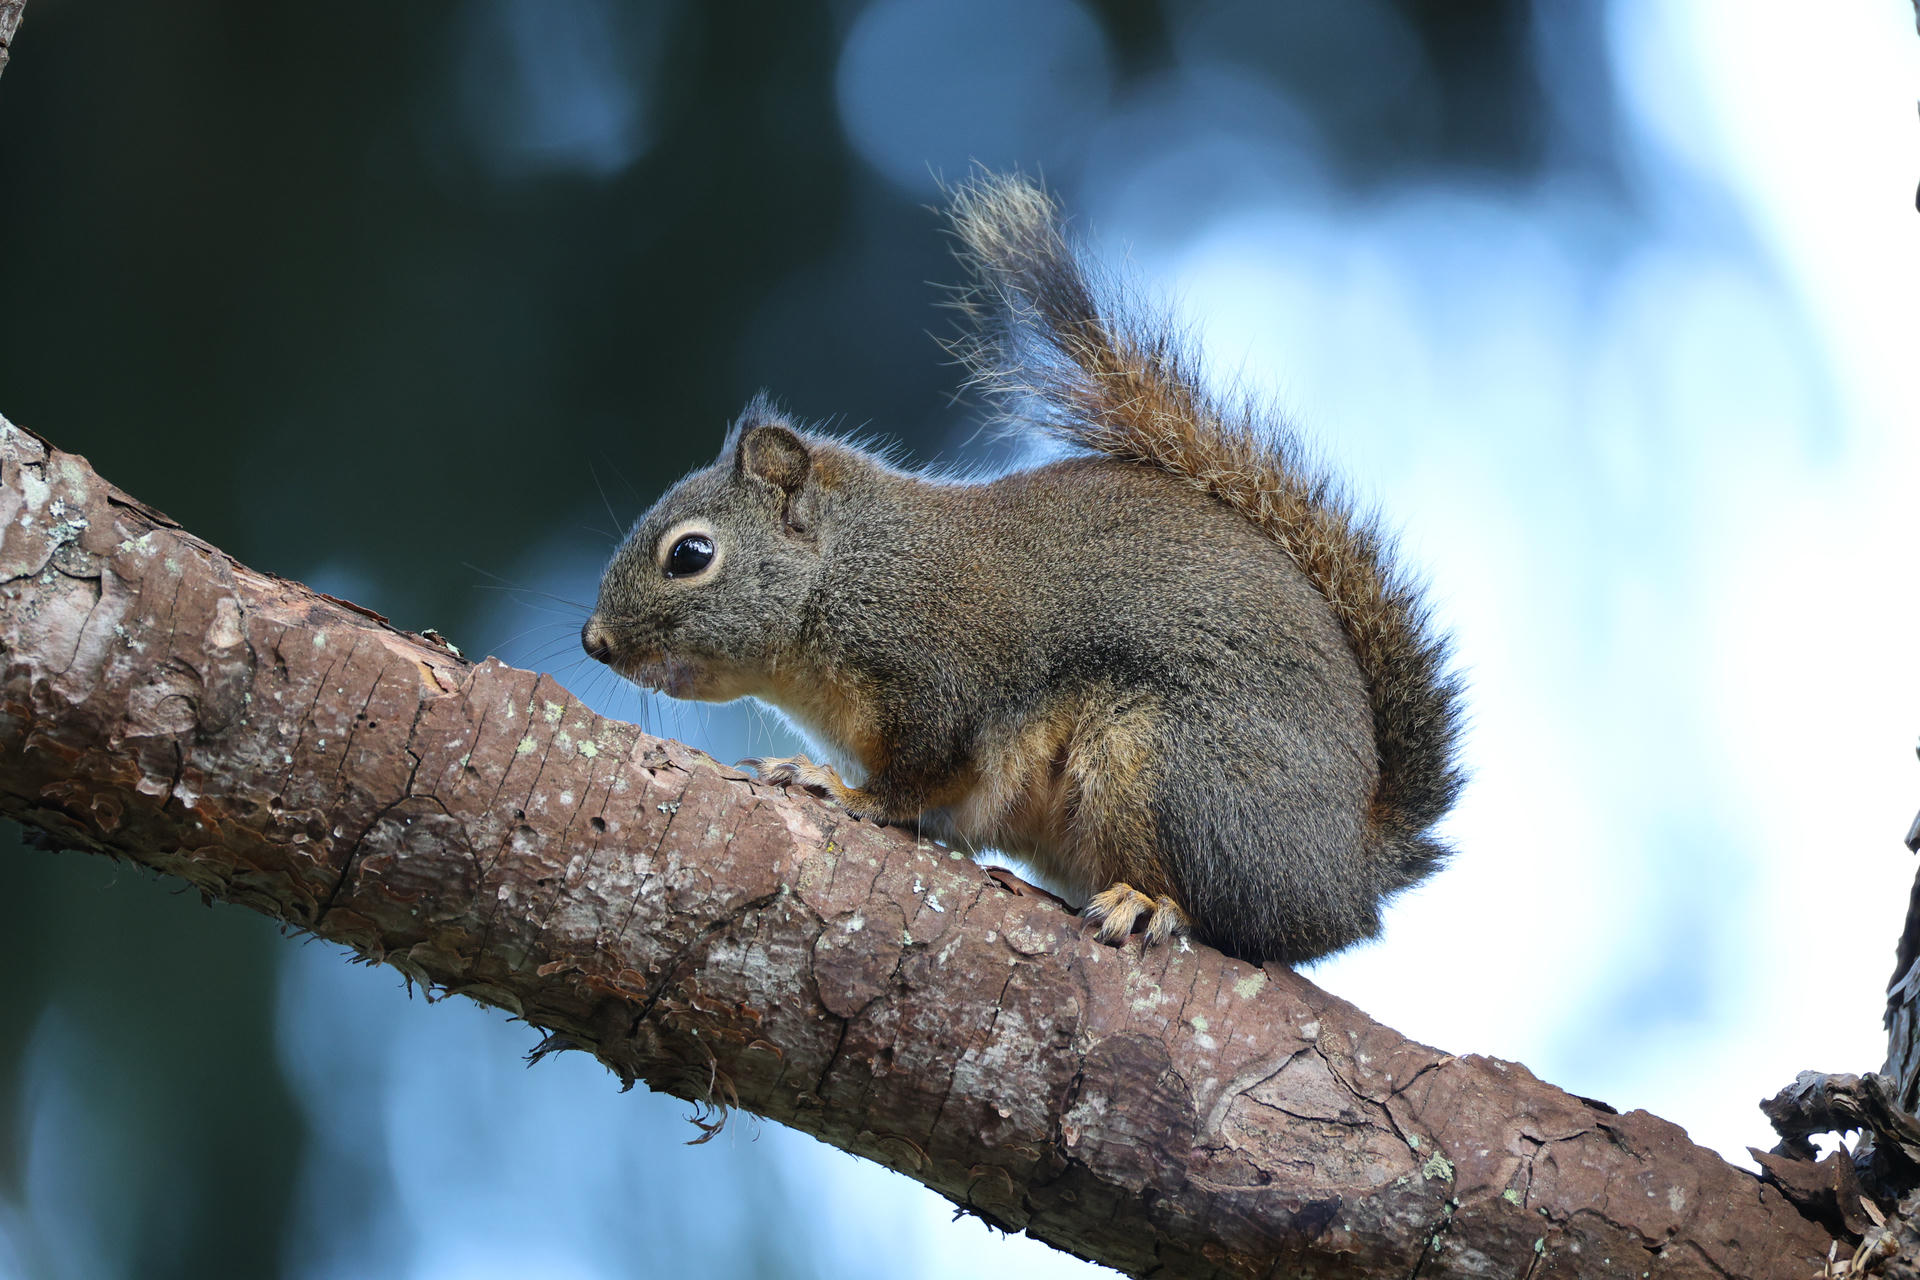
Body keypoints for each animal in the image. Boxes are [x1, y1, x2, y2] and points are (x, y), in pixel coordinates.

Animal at [581, 174, 1464, 965]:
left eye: (690, 555)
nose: (593, 642)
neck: (845, 573)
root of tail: (1347, 874)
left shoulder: (939, 682)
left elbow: (917, 774)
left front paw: (841, 791)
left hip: (1162, 765)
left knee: (1222, 912)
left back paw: (1148, 903)